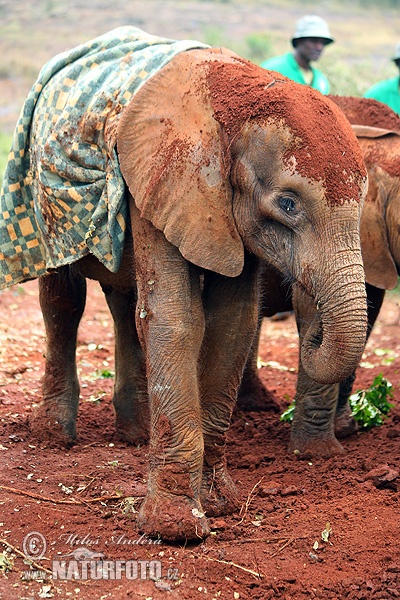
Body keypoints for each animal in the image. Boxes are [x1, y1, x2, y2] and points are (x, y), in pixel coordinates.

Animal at [0, 28, 368, 540]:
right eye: (288, 204)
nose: (312, 328)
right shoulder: (164, 177)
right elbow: (176, 319)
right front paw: (173, 529)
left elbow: (233, 325)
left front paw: (219, 506)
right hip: (40, 201)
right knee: (63, 299)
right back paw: (55, 436)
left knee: (126, 303)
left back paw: (135, 434)